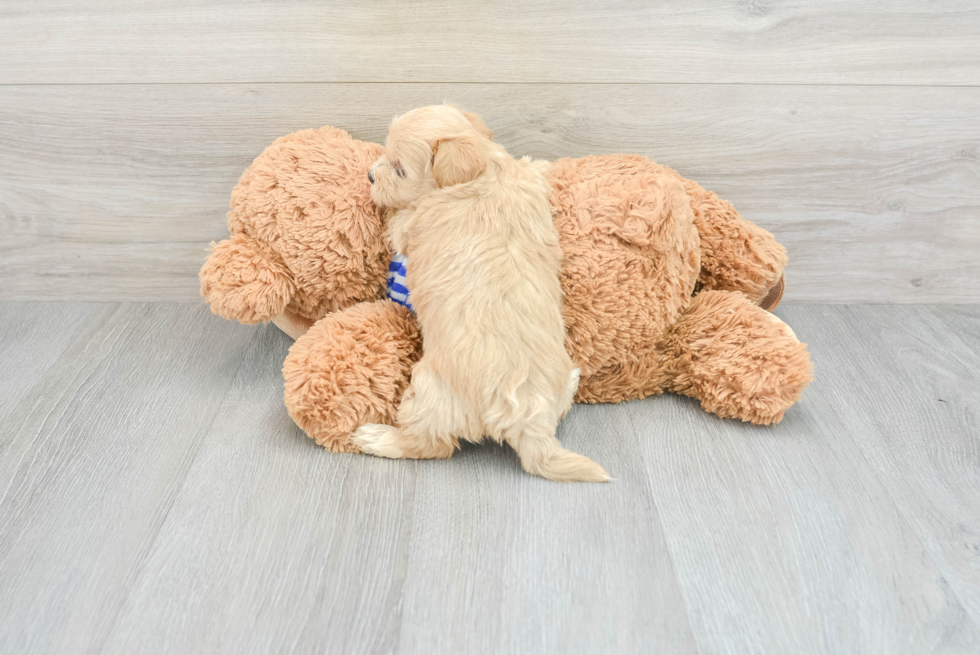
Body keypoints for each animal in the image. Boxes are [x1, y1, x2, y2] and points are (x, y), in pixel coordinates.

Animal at [356, 105, 608, 484]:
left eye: (399, 169)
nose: (371, 176)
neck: (481, 175)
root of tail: (526, 420)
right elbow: (528, 167)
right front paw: (542, 166)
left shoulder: (412, 223)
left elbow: (399, 220)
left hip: (428, 391)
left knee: (429, 445)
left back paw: (377, 438)